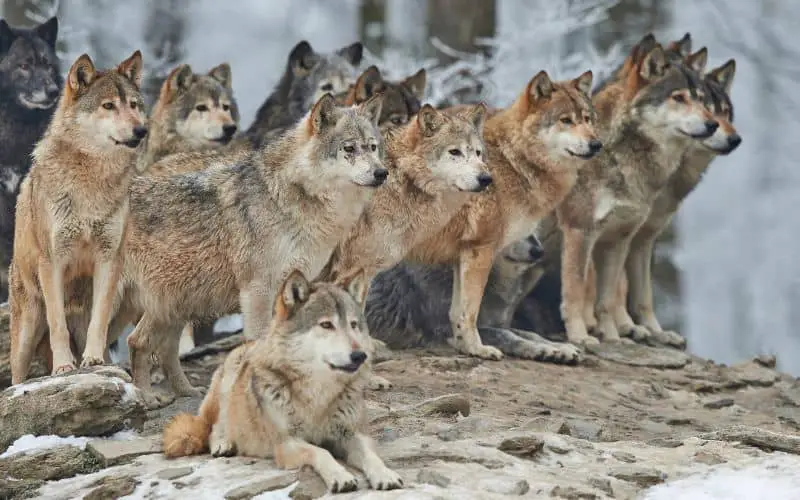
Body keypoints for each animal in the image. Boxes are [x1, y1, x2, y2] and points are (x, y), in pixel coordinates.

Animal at [8, 50, 148, 384]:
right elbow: (57, 324)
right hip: (26, 332)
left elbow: (99, 322)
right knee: (17, 377)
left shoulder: (110, 258)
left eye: (134, 105)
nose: (141, 130)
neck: (91, 183)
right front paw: (63, 367)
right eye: (108, 106)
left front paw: (93, 360)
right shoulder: (53, 261)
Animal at [111, 93, 386, 406]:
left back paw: (183, 392)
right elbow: (259, 342)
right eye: (349, 148)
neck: (290, 196)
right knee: (133, 342)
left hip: (175, 303)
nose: (382, 173)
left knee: (147, 344)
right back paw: (144, 396)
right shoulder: (257, 291)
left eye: (373, 147)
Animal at [162, 270, 404, 492]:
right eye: (326, 325)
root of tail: (246, 344)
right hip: (228, 380)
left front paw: (386, 474)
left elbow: (370, 456)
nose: (359, 355)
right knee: (215, 425)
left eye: (353, 325)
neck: (318, 393)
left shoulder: (352, 434)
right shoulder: (287, 443)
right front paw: (341, 476)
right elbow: (321, 451)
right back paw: (223, 443)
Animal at [362, 69, 600, 360]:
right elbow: (474, 314)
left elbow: (477, 317)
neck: (513, 161)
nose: (596, 144)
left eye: (587, 119)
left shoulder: (461, 255)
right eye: (566, 120)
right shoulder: (481, 249)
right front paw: (478, 348)